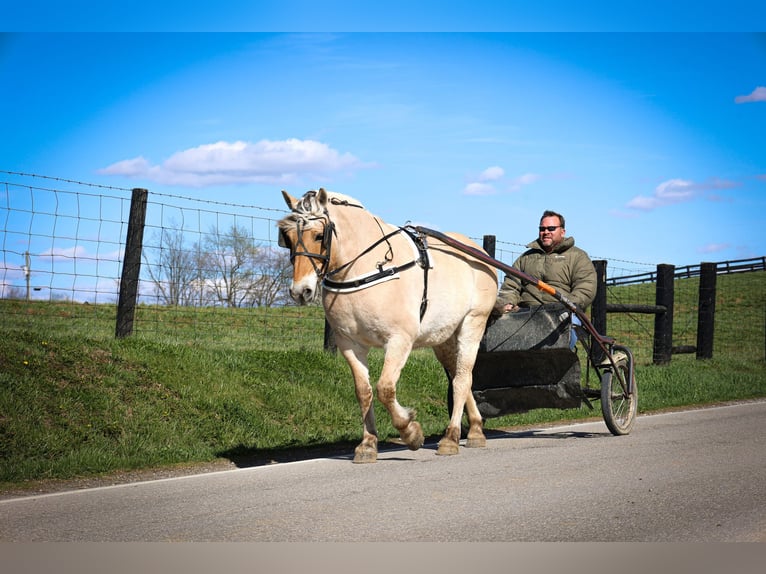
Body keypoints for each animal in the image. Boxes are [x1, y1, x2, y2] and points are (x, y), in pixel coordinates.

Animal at [276, 189, 498, 464]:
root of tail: (479, 254)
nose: (300, 291)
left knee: (462, 379)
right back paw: (476, 429)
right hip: (444, 338)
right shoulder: (350, 344)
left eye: (319, 235)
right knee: (459, 376)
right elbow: (364, 392)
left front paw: (410, 432)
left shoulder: (399, 340)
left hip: (472, 324)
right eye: (287, 238)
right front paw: (368, 444)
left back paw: (451, 437)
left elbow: (385, 389)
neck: (368, 268)